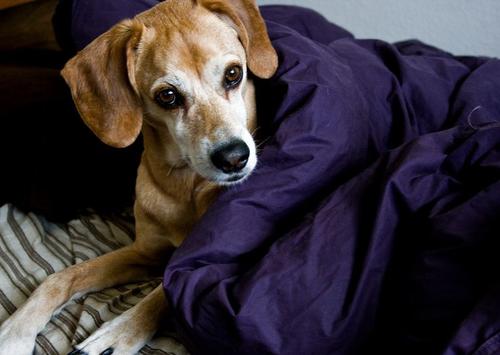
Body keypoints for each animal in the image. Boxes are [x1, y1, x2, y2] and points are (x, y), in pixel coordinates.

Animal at [0, 0, 278, 354]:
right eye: (168, 96)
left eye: (233, 74)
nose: (234, 158)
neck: (182, 185)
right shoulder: (144, 252)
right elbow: (62, 276)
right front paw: (15, 332)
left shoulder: (193, 264)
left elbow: (164, 293)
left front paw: (118, 333)